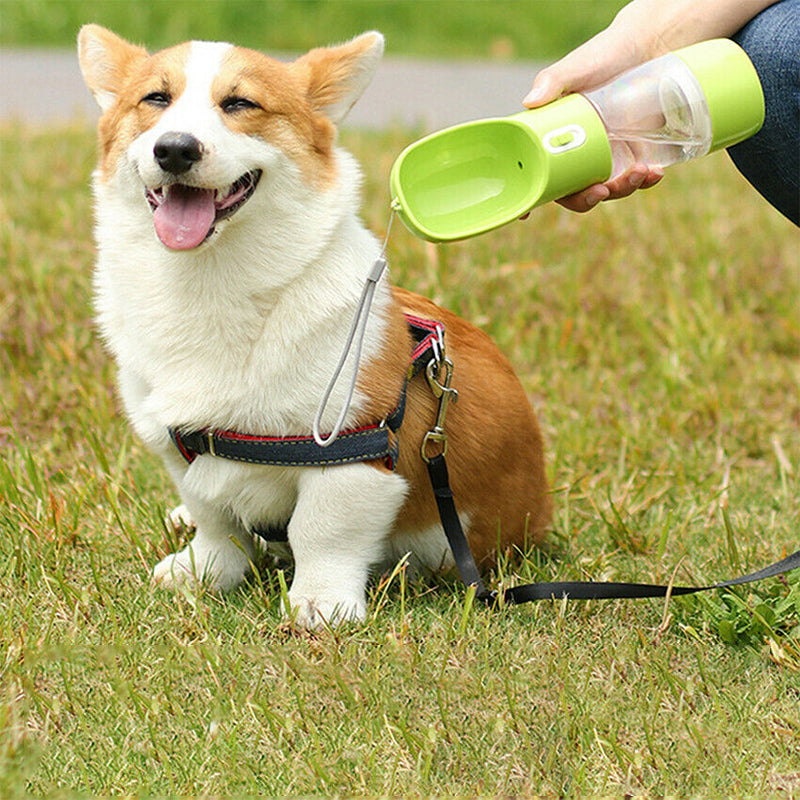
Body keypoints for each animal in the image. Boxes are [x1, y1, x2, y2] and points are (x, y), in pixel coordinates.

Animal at [78, 23, 552, 624]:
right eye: (155, 99)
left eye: (240, 103)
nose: (176, 148)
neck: (211, 283)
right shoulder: (179, 449)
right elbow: (214, 518)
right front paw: (202, 572)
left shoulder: (352, 453)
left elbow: (320, 531)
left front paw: (320, 606)